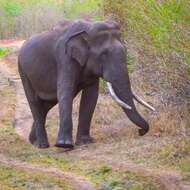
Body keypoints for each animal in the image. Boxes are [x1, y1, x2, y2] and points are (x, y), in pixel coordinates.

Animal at [17, 20, 155, 149]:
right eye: (104, 54)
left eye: (125, 51)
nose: (140, 132)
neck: (89, 27)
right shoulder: (65, 57)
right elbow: (65, 91)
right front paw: (65, 145)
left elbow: (91, 97)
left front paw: (85, 142)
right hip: (23, 72)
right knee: (35, 103)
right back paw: (42, 145)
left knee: (47, 105)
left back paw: (33, 141)